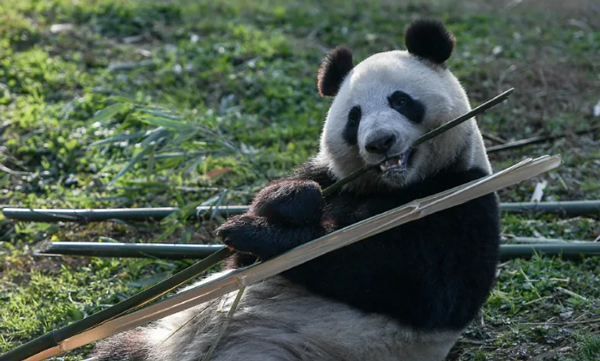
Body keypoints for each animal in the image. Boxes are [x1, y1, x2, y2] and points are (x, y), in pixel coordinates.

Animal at [92, 19, 496, 360]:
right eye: (354, 117)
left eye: (400, 100)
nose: (380, 142)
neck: (394, 187)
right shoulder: (330, 176)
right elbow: (244, 257)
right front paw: (288, 200)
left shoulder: (461, 200)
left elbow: (402, 280)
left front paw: (256, 232)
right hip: (155, 340)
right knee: (116, 349)